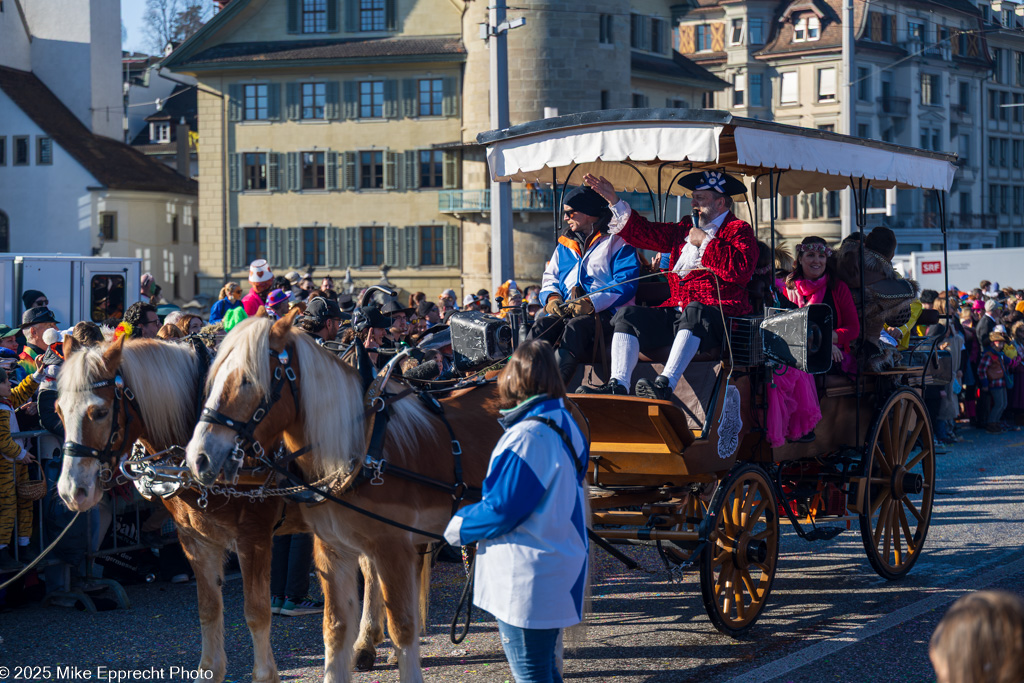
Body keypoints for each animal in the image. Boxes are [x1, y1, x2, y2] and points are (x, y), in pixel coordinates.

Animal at [56, 337, 389, 683]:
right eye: (58, 411)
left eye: (100, 412)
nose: (72, 491)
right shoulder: (194, 539)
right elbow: (208, 609)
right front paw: (210, 670)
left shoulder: (253, 538)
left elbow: (256, 612)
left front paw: (264, 675)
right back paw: (368, 640)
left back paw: (367, 642)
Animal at [185, 313, 512, 679]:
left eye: (246, 381)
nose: (199, 457)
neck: (363, 449)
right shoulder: (333, 550)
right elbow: (335, 628)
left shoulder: (392, 546)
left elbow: (403, 627)